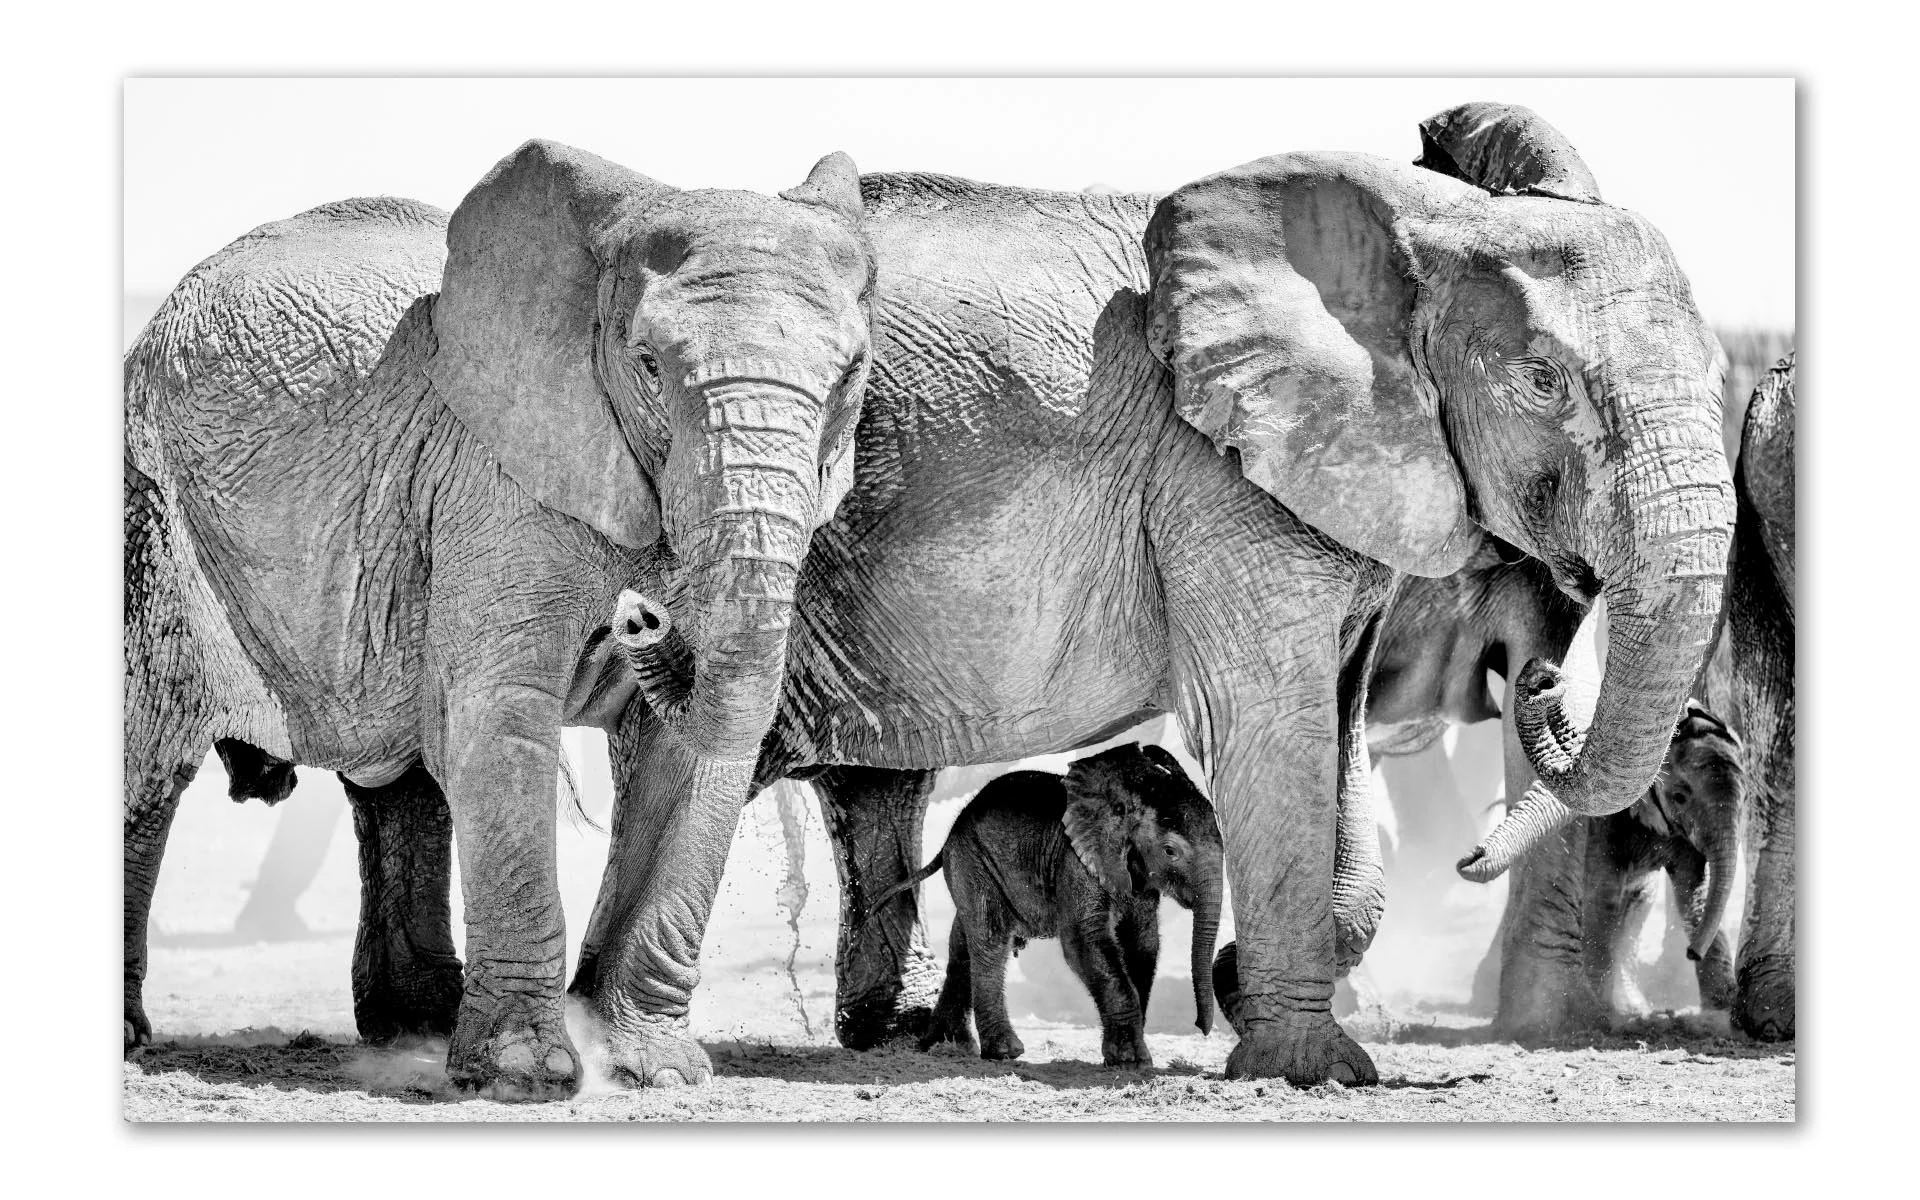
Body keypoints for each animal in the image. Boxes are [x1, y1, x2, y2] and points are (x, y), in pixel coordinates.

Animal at [124, 142, 879, 1095]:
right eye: (648, 364)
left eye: (850, 375)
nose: (641, 619)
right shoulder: (490, 485)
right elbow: (503, 718)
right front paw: (529, 1075)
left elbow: (695, 745)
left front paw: (651, 1067)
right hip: (152, 509)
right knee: (147, 764)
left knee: (401, 780)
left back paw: (417, 1027)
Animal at [855, 742, 1222, 1067]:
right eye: (1170, 850)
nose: (1201, 1028)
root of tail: (950, 834)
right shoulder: (1075, 862)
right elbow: (1083, 942)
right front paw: (1131, 1060)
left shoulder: (1137, 875)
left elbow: (1143, 945)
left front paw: (1124, 1053)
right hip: (972, 859)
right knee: (990, 938)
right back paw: (1003, 1052)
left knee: (963, 944)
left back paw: (946, 1045)